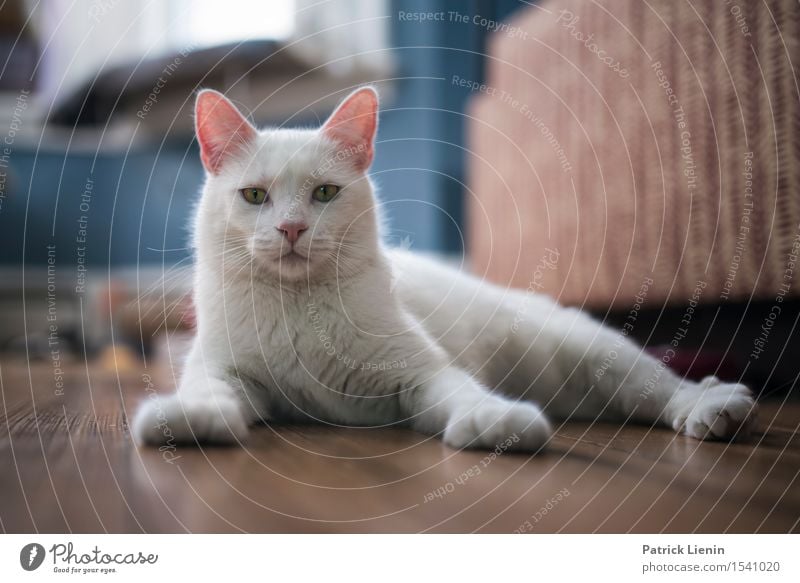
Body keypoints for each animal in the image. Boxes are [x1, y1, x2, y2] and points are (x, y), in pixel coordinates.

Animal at [131, 85, 756, 452]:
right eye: (255, 196)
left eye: (325, 193)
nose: (291, 229)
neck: (298, 306)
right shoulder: (227, 370)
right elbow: (211, 392)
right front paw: (189, 418)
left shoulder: (420, 372)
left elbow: (461, 391)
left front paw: (495, 422)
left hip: (587, 350)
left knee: (662, 387)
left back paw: (713, 408)